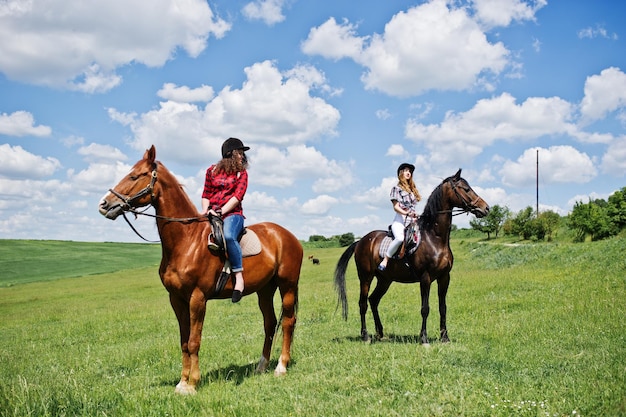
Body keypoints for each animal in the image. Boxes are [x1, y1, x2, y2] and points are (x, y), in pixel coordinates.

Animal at [98, 146, 302, 394]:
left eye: (135, 176)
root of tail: (287, 235)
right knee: (270, 323)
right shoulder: (177, 299)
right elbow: (184, 342)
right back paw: (261, 366)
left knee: (288, 321)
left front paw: (193, 384)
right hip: (264, 290)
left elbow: (194, 341)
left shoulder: (197, 298)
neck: (187, 240)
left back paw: (281, 366)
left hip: (287, 285)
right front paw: (182, 382)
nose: (104, 204)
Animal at [336, 170, 488, 344]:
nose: (486, 208)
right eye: (466, 189)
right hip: (366, 277)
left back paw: (380, 333)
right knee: (363, 303)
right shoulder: (425, 278)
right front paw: (424, 339)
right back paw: (366, 336)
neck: (434, 237)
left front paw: (445, 337)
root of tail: (360, 241)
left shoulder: (444, 277)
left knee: (373, 300)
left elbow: (443, 307)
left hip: (384, 279)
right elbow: (425, 309)